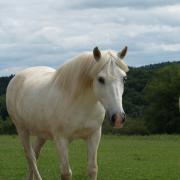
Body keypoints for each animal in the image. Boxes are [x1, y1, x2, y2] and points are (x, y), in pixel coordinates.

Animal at [6, 46, 129, 180]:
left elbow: (92, 169)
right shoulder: (61, 140)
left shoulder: (94, 136)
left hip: (41, 134)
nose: (118, 118)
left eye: (124, 78)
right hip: (22, 130)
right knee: (30, 156)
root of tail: (16, 77)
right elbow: (65, 172)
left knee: (34, 153)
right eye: (101, 79)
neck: (80, 104)